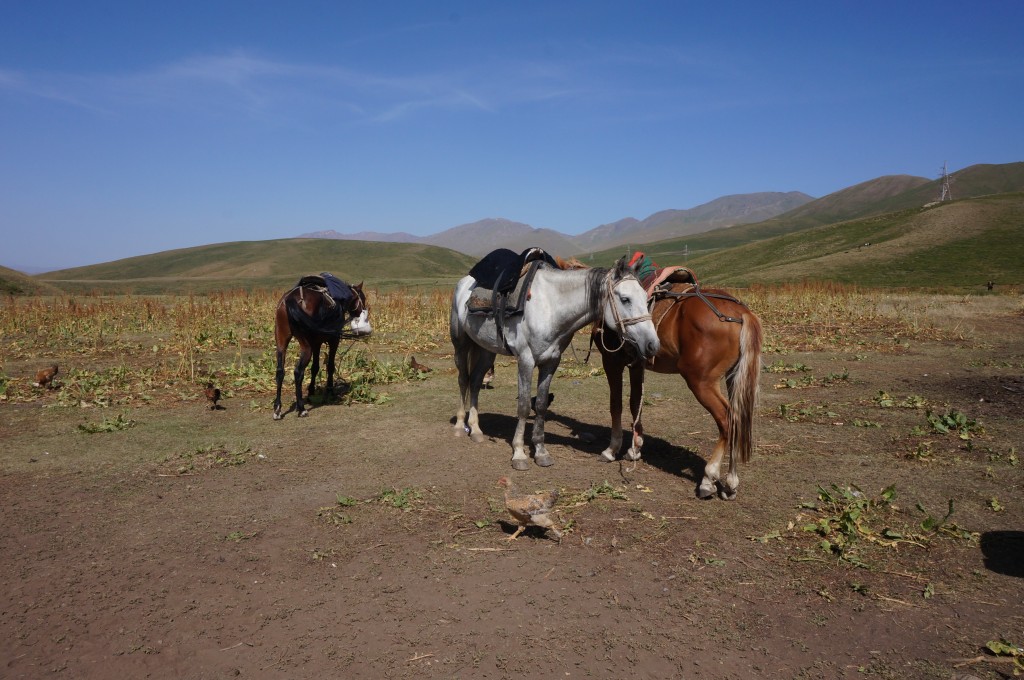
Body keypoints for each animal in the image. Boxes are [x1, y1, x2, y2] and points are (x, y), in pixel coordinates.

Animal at [272, 274, 372, 417]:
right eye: (363, 298)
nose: (360, 313)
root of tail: (290, 300)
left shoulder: (316, 343)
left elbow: (315, 367)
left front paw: (311, 390)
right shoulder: (334, 340)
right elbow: (330, 366)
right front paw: (330, 390)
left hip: (281, 340)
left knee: (280, 371)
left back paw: (278, 408)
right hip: (306, 346)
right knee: (298, 372)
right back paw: (301, 408)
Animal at [450, 258, 659, 471]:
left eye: (645, 297)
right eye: (625, 299)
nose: (653, 344)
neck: (550, 307)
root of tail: (464, 283)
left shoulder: (551, 362)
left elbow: (541, 405)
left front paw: (541, 452)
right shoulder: (525, 360)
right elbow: (524, 406)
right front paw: (519, 454)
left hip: (486, 350)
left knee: (476, 381)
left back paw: (476, 429)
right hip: (461, 344)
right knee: (463, 380)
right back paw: (459, 426)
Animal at [593, 278, 761, 497]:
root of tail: (741, 313)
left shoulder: (611, 361)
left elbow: (616, 405)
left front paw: (612, 449)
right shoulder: (636, 364)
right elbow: (635, 403)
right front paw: (635, 449)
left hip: (701, 382)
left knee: (727, 420)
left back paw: (709, 478)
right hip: (733, 377)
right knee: (738, 419)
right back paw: (731, 482)